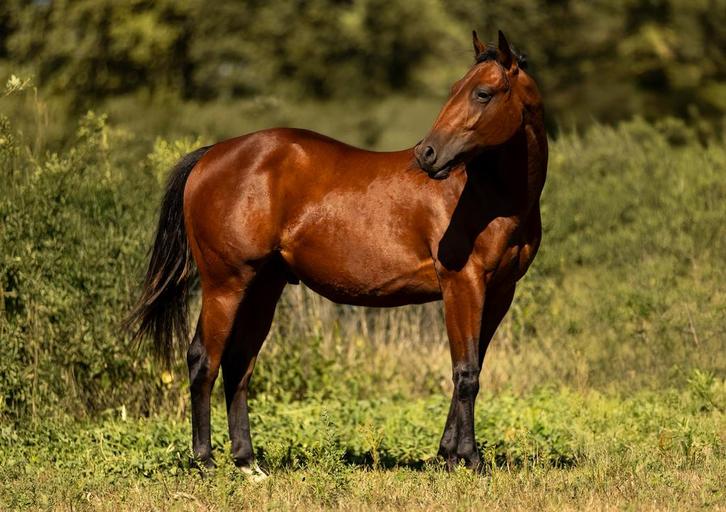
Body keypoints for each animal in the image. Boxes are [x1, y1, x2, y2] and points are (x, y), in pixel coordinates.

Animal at [128, 30, 547, 473]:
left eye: (482, 93)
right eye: (456, 90)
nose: (426, 154)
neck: (489, 195)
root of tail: (211, 154)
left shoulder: (499, 292)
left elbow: (473, 366)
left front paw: (448, 454)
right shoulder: (462, 284)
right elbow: (465, 372)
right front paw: (468, 458)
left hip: (261, 289)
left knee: (238, 364)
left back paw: (248, 464)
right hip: (224, 285)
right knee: (203, 360)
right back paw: (206, 461)